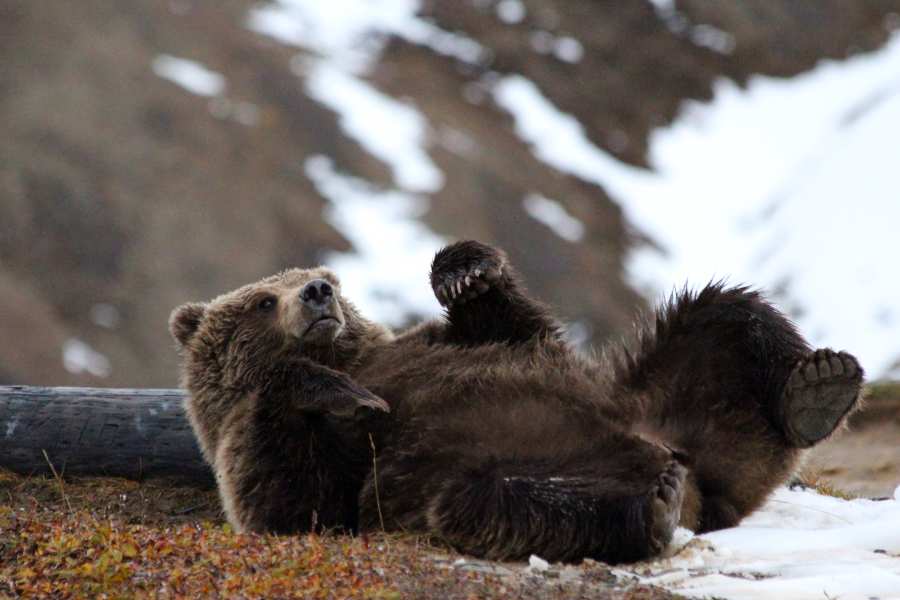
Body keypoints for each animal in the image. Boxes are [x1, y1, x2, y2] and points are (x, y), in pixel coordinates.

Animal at [171, 239, 864, 564]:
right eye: (264, 299)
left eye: (330, 280)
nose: (317, 292)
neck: (349, 359)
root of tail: (699, 486)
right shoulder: (266, 449)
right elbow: (297, 502)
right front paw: (338, 392)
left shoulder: (444, 346)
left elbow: (516, 326)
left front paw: (466, 272)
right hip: (466, 481)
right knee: (496, 502)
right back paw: (652, 507)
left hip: (659, 393)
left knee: (723, 312)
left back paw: (817, 386)